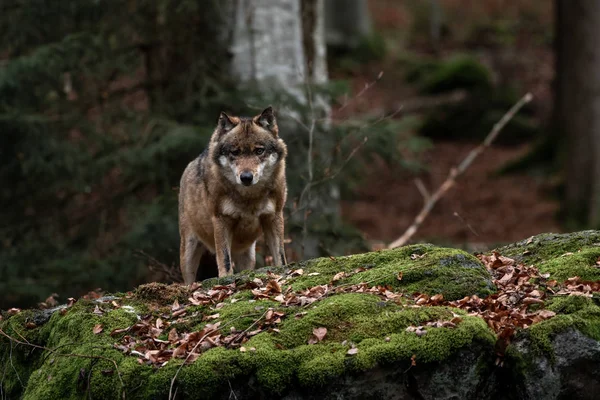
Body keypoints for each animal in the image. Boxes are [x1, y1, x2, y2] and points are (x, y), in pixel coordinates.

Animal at [177, 106, 288, 284]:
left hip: (248, 255)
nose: (246, 177)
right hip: (188, 251)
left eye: (259, 151)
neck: (249, 197)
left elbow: (280, 256)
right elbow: (225, 259)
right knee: (188, 281)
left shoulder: (274, 216)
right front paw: (225, 279)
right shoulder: (221, 220)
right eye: (235, 152)